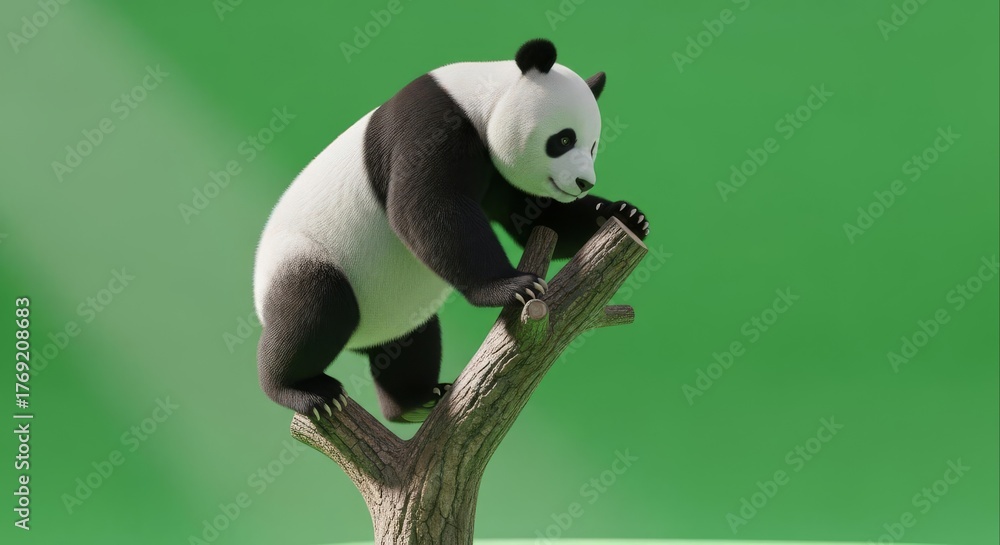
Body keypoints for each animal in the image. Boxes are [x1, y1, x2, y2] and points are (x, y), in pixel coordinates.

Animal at [254, 38, 649, 423]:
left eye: (592, 145)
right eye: (564, 140)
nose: (584, 182)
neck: (480, 100)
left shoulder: (495, 170)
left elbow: (534, 216)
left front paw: (625, 215)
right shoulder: (430, 124)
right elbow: (427, 206)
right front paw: (513, 286)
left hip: (397, 309)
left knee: (411, 341)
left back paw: (414, 402)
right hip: (305, 258)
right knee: (315, 310)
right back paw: (305, 391)